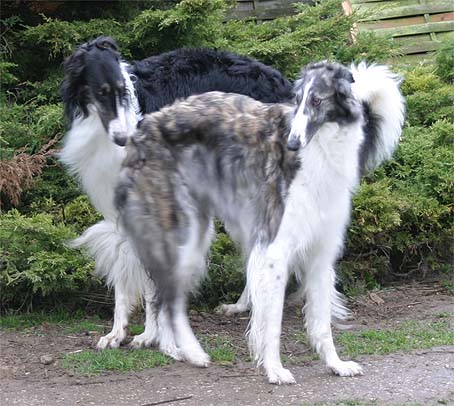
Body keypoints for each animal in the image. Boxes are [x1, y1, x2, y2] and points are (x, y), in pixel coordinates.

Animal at [59, 36, 294, 350]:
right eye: (101, 92)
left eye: (124, 91)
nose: (124, 138)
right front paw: (117, 332)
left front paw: (149, 334)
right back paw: (243, 304)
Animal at [114, 61, 405, 384]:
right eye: (297, 99)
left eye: (317, 100)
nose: (292, 143)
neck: (319, 154)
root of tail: (143, 128)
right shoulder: (275, 250)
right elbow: (273, 322)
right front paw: (274, 369)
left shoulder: (321, 253)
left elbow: (321, 323)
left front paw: (336, 364)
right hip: (185, 236)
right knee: (170, 299)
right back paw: (189, 351)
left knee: (166, 298)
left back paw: (178, 350)